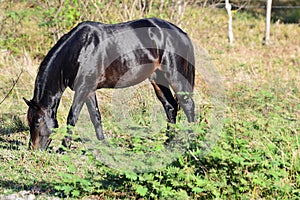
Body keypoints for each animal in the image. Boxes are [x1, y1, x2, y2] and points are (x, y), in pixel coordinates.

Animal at [22, 18, 195, 150]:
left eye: (37, 121)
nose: (34, 150)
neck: (80, 50)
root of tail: (181, 33)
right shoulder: (89, 90)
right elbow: (96, 117)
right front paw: (103, 143)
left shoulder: (82, 89)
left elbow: (72, 118)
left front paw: (63, 148)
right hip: (158, 78)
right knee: (171, 106)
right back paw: (168, 143)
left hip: (174, 76)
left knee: (188, 105)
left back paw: (193, 141)